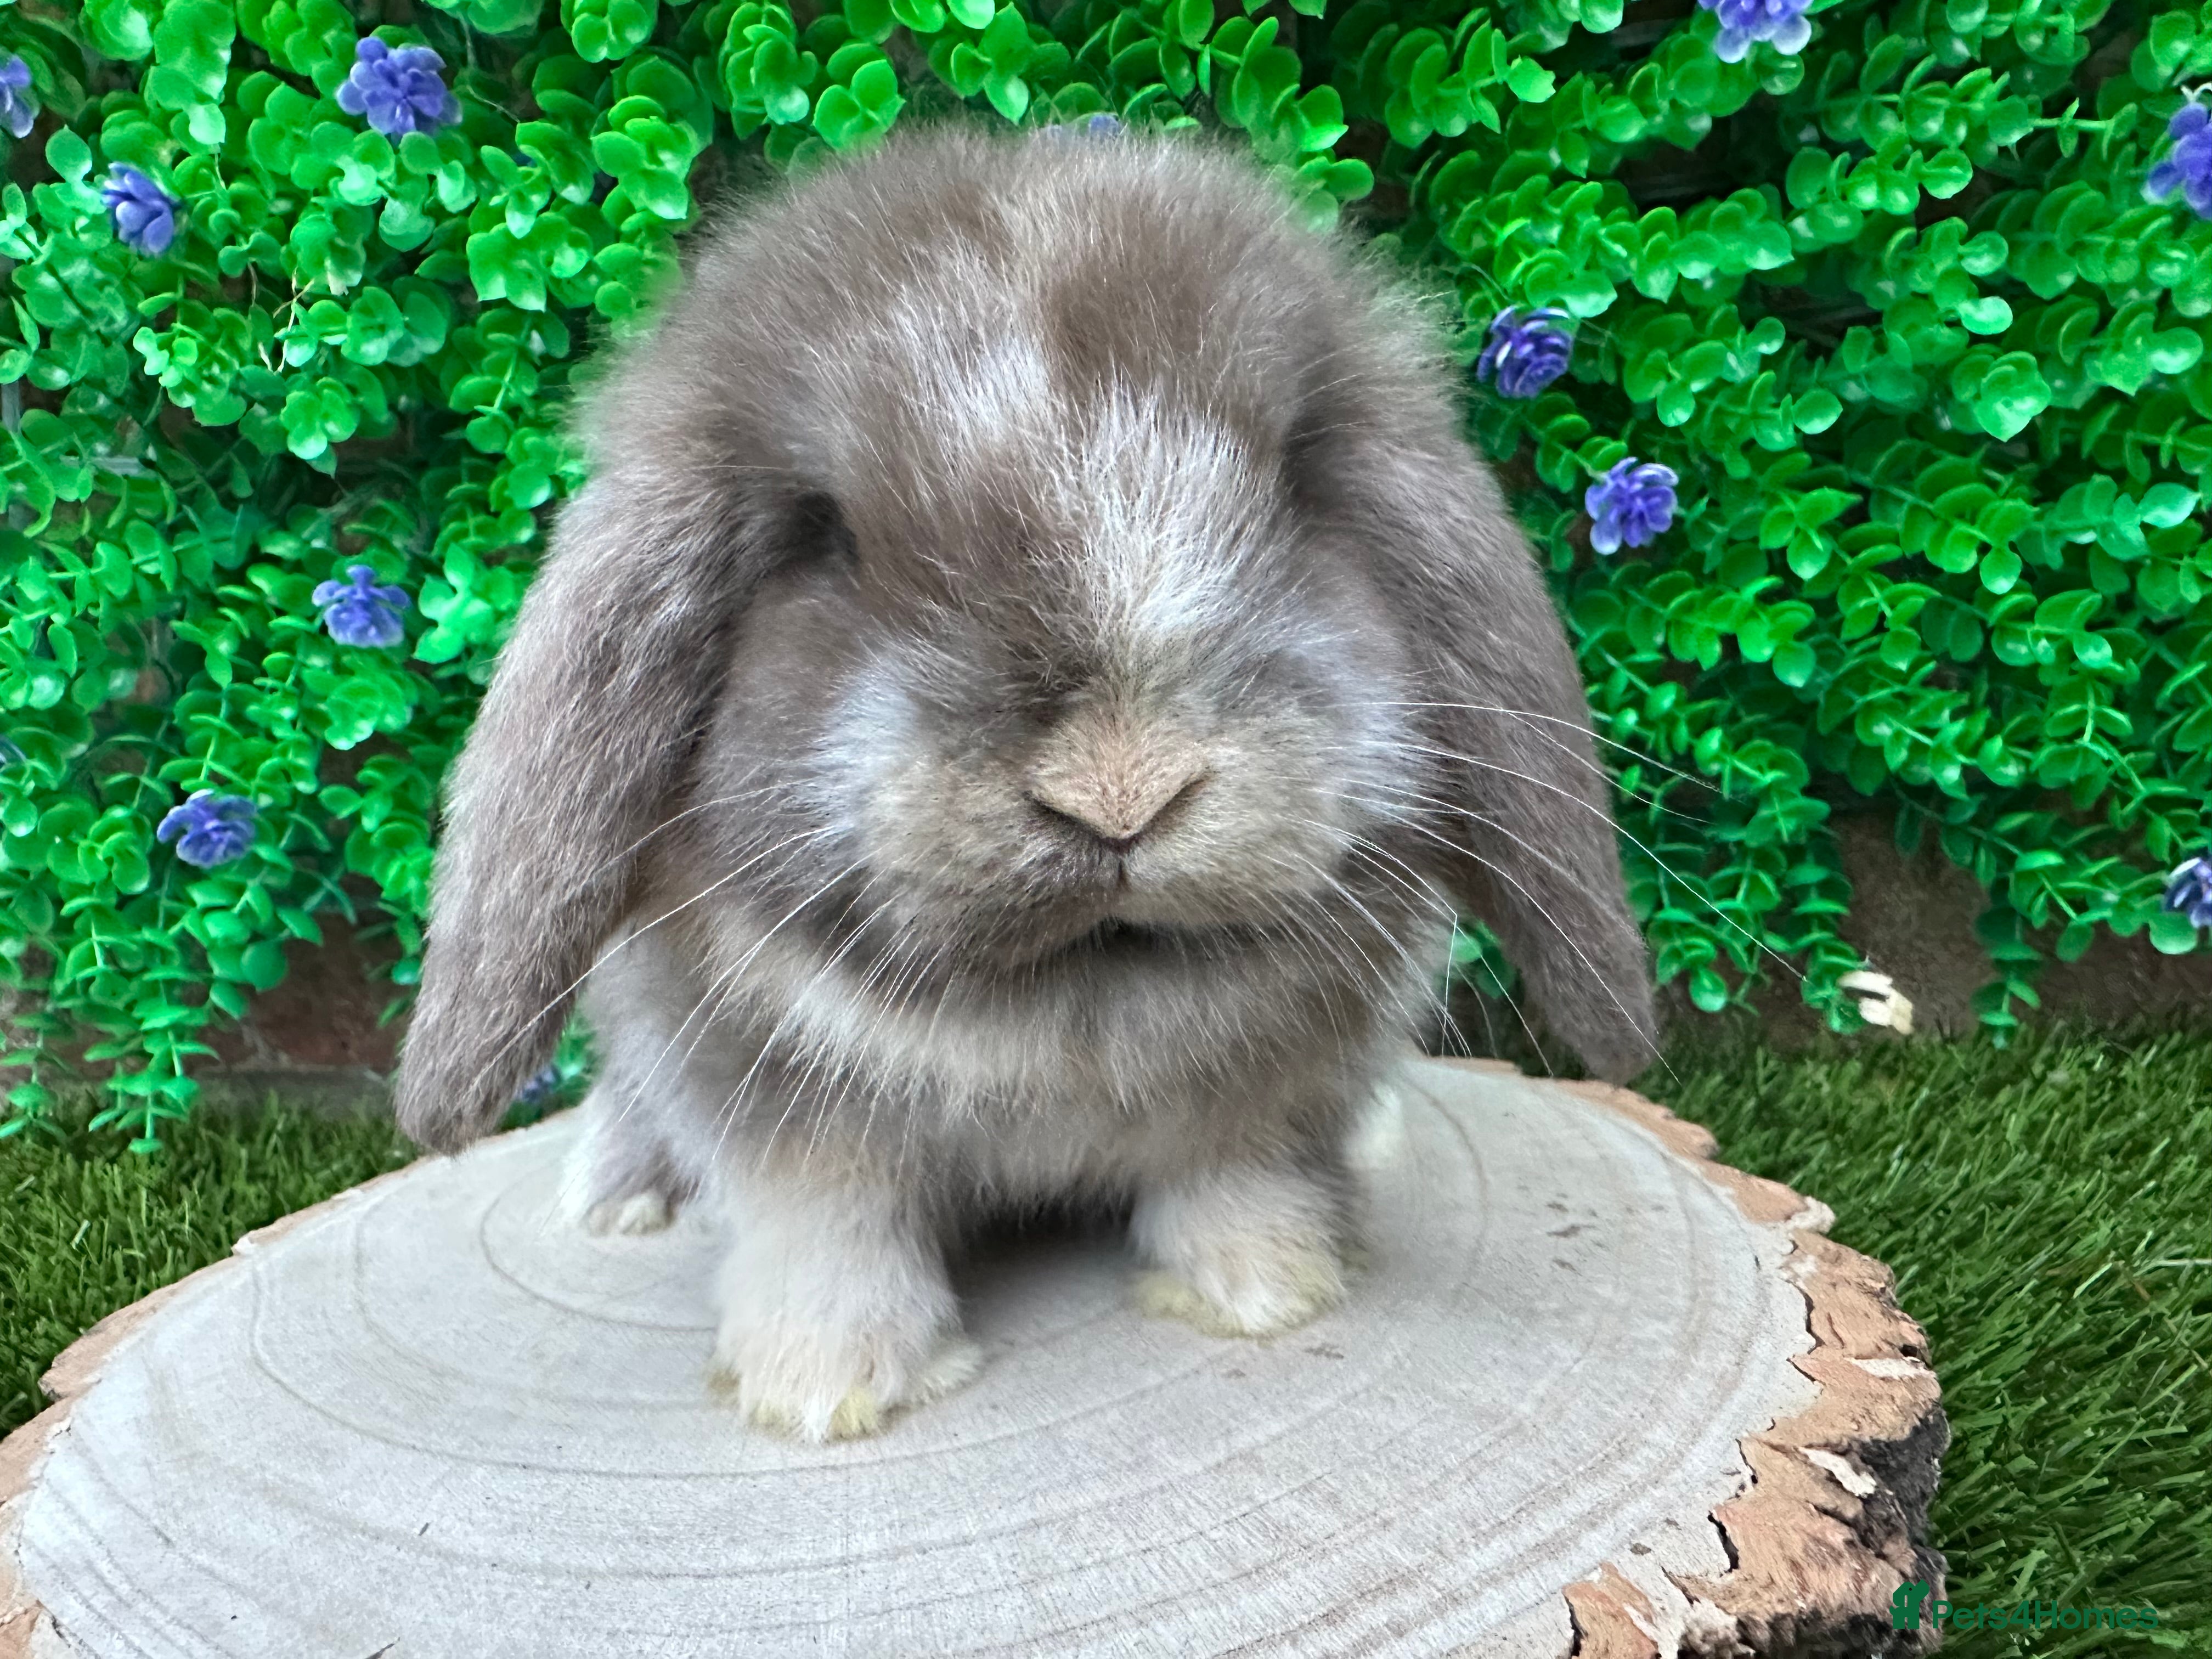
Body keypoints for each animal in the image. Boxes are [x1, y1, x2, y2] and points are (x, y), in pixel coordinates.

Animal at [392, 122, 1657, 1443]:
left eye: (1297, 480)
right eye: (822, 536)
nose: (1122, 789)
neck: (1064, 1018)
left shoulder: (1262, 1099)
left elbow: (1237, 1173)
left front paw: (1270, 1288)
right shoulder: (774, 1111)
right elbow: (826, 1229)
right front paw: (824, 1388)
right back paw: (617, 1198)